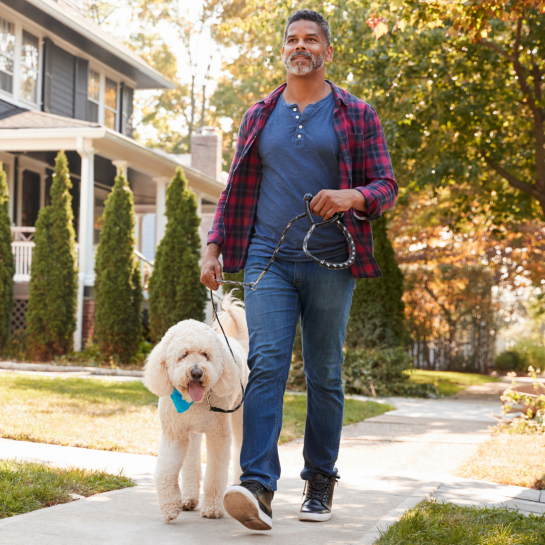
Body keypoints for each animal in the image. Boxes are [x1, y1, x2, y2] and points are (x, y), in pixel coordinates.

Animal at [142, 294, 249, 524]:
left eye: (205, 354)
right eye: (183, 355)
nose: (197, 373)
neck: (193, 401)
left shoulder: (219, 436)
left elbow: (215, 474)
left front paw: (212, 508)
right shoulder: (174, 435)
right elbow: (165, 471)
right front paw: (169, 507)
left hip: (239, 418)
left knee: (240, 449)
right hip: (191, 433)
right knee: (191, 461)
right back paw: (189, 498)